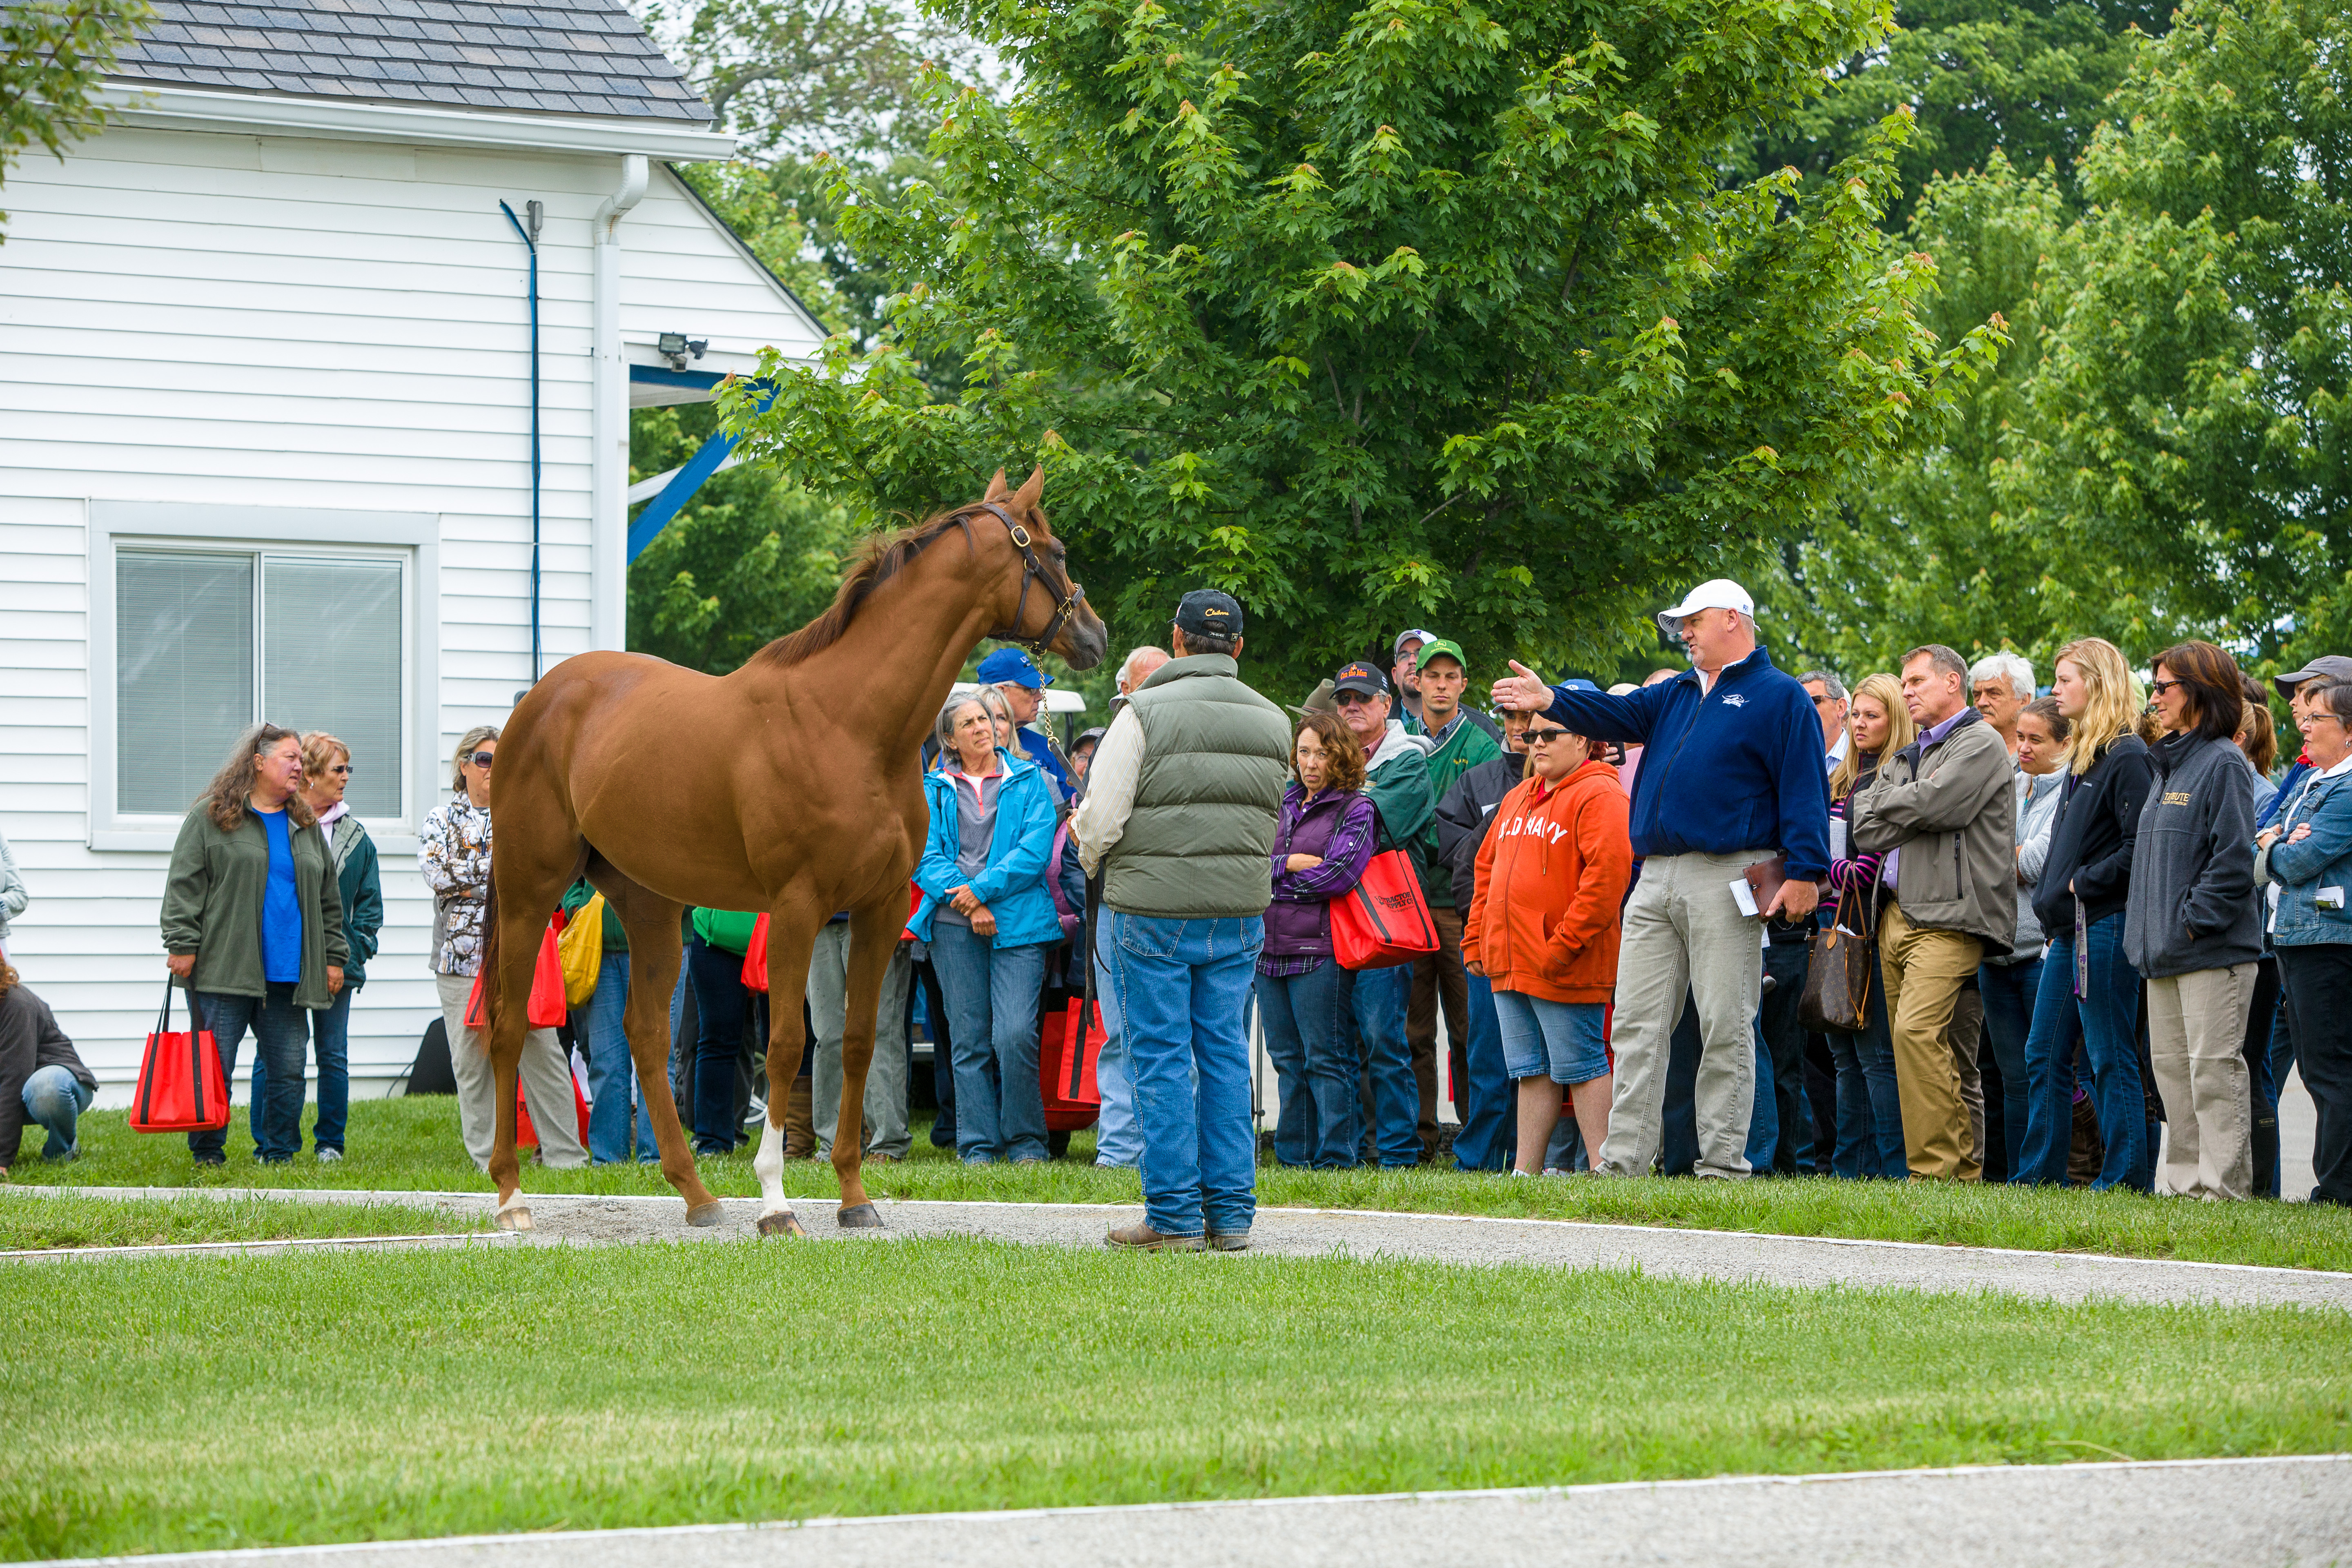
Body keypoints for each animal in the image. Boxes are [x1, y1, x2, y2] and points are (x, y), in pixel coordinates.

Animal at [477, 472, 1110, 1232]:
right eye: (1056, 550)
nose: (1095, 635)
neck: (849, 725)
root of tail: (538, 704)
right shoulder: (799, 908)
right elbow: (783, 1047)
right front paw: (776, 1200)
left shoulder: (880, 908)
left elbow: (858, 1044)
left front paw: (855, 1197)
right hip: (529, 890)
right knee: (510, 1026)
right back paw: (512, 1197)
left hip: (648, 903)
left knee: (645, 1036)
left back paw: (697, 1195)